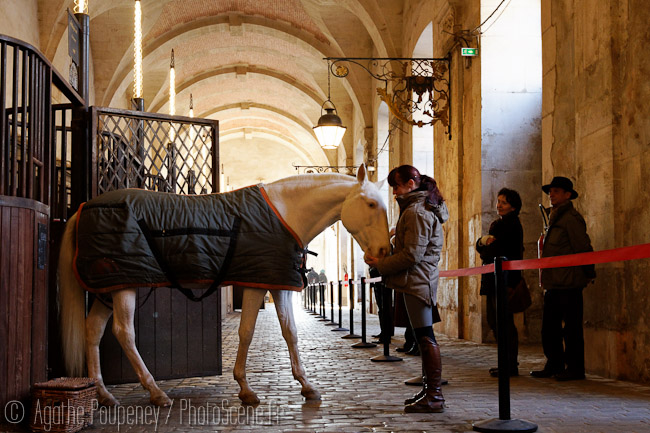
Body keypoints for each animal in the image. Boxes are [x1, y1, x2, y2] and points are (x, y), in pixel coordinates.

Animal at [58, 165, 388, 404]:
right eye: (371, 204)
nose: (383, 252)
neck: (285, 215)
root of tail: (85, 206)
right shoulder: (257, 284)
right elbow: (247, 332)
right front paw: (246, 389)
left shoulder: (278, 284)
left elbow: (290, 333)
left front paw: (306, 386)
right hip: (122, 287)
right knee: (124, 334)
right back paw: (156, 393)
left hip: (107, 289)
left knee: (93, 332)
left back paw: (104, 395)